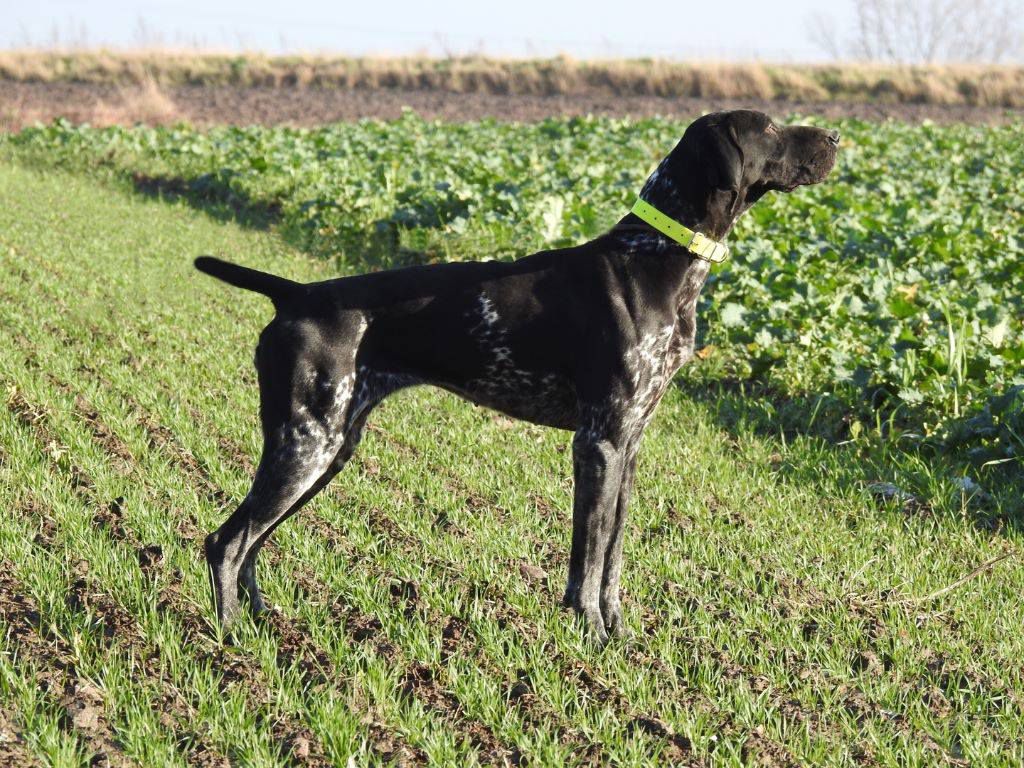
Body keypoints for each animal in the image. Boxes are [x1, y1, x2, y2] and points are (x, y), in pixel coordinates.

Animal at [195, 111, 835, 647]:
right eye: (769, 127)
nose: (834, 137)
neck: (659, 257)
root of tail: (296, 293)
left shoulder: (629, 446)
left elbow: (613, 558)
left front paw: (619, 635)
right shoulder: (599, 443)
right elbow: (588, 560)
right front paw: (590, 635)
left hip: (329, 449)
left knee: (252, 542)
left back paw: (263, 620)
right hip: (307, 442)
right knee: (226, 542)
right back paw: (232, 642)